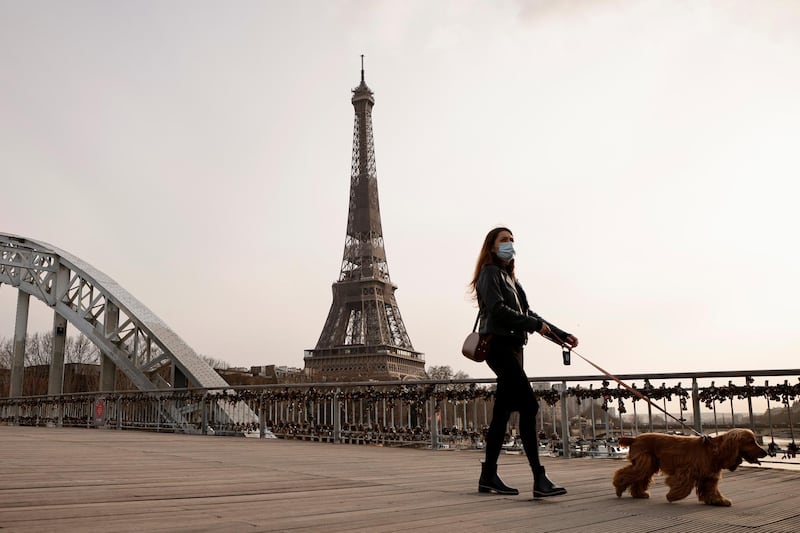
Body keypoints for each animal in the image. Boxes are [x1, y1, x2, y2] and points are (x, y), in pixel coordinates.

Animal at [616, 426, 764, 504]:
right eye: (751, 442)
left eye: (755, 440)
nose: (766, 452)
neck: (714, 449)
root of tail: (634, 438)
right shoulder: (686, 471)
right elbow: (682, 486)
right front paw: (673, 496)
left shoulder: (710, 475)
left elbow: (712, 488)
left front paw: (718, 500)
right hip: (645, 462)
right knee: (625, 474)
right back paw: (619, 488)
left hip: (648, 464)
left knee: (638, 478)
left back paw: (639, 494)